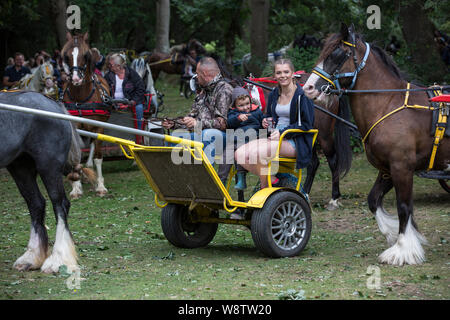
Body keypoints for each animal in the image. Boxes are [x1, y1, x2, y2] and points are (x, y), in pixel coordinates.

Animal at [60, 31, 110, 198]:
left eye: (85, 55)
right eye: (66, 55)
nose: (76, 78)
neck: (80, 98)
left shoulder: (99, 128)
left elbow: (98, 157)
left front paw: (100, 186)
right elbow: (76, 157)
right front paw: (76, 187)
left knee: (94, 145)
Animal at [302, 23, 450, 266]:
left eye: (337, 54)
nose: (309, 88)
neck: (389, 104)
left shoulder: (402, 167)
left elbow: (403, 207)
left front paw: (403, 249)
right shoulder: (386, 169)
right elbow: (373, 200)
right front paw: (393, 233)